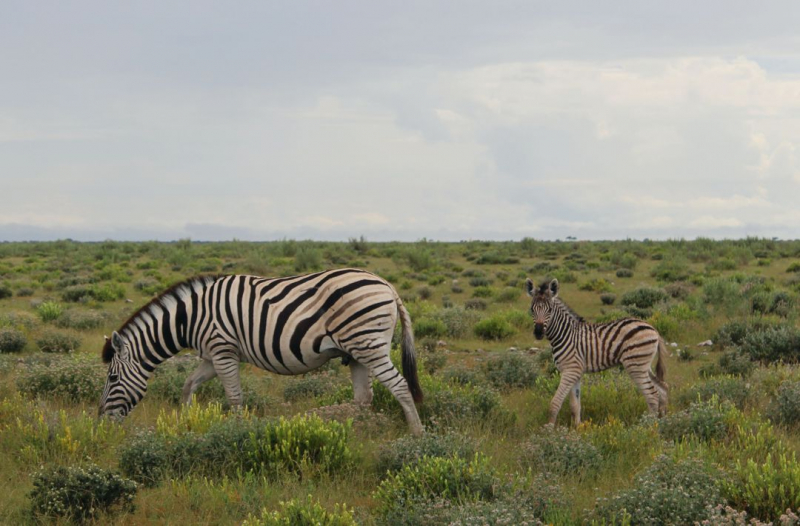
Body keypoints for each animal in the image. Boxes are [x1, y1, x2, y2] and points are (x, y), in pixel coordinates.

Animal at [98, 270, 424, 436]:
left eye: (112, 379)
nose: (101, 421)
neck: (188, 318)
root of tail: (388, 285)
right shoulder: (211, 356)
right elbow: (188, 385)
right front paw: (186, 421)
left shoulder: (223, 350)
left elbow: (234, 397)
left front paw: (238, 434)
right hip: (356, 352)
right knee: (364, 397)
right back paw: (357, 433)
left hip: (369, 345)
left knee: (399, 385)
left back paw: (416, 436)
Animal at [528, 278, 664, 426]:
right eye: (532, 309)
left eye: (550, 310)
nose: (538, 332)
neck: (565, 334)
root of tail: (653, 329)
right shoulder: (575, 372)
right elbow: (575, 405)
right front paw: (578, 427)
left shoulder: (570, 370)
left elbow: (555, 403)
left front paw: (549, 429)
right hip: (644, 365)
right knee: (662, 390)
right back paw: (660, 420)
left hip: (636, 366)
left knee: (652, 395)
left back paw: (648, 426)